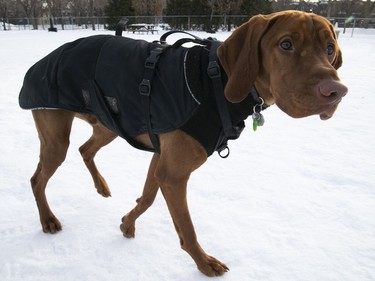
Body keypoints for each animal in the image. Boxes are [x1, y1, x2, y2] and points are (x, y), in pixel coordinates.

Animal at [19, 10, 350, 276]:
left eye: (330, 49)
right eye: (285, 44)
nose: (336, 91)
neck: (217, 81)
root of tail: (41, 61)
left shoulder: (162, 159)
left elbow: (147, 198)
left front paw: (127, 223)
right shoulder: (174, 173)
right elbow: (187, 228)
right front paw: (204, 263)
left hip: (109, 124)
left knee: (84, 149)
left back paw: (101, 186)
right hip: (56, 138)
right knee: (38, 178)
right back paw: (48, 220)